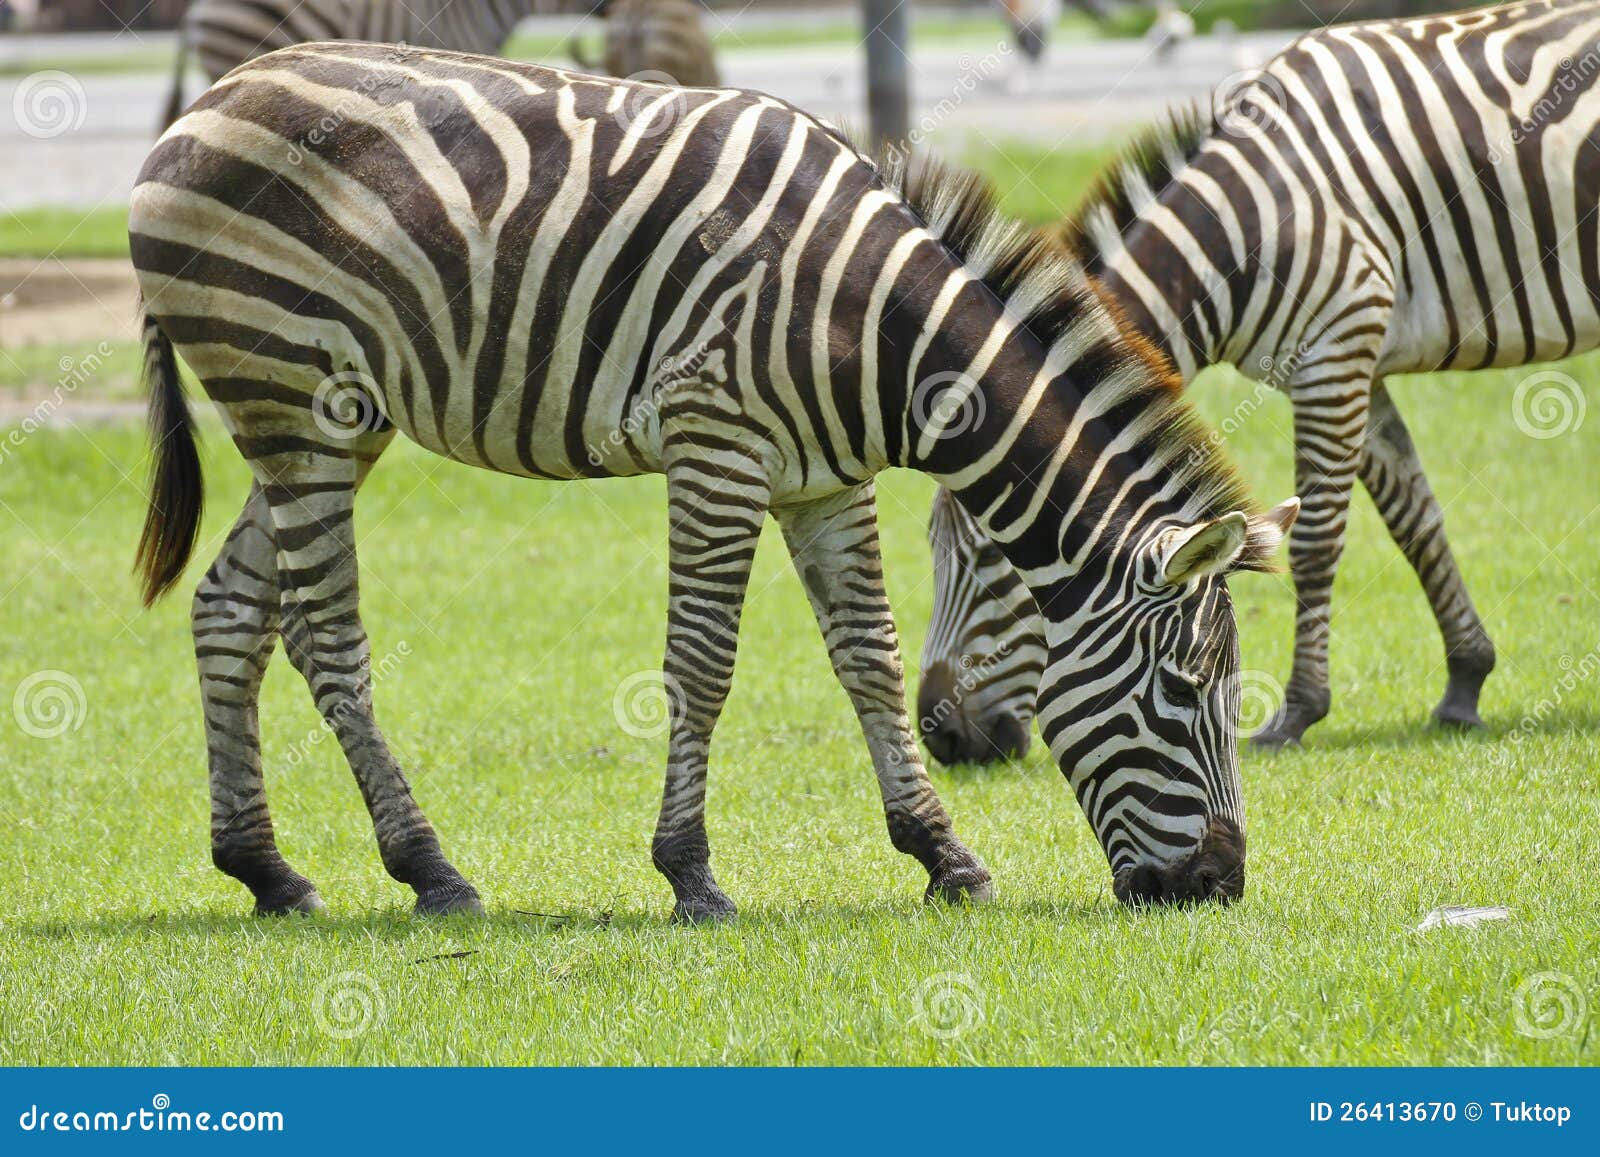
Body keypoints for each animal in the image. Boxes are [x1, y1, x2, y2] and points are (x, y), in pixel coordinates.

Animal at [131, 40, 1292, 921]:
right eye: (1184, 689)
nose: (1219, 884)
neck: (881, 333)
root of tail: (213, 99)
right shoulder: (715, 443)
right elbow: (700, 663)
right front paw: (690, 871)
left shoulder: (826, 481)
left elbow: (868, 660)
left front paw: (941, 854)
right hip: (293, 403)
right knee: (326, 639)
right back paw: (430, 869)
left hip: (323, 420)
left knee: (229, 608)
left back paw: (265, 870)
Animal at [921, 0, 1600, 764]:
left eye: (992, 559)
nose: (941, 736)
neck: (1246, 227)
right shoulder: (1355, 360)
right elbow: (1415, 520)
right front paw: (1465, 680)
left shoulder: (1335, 348)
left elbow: (1316, 541)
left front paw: (1299, 709)